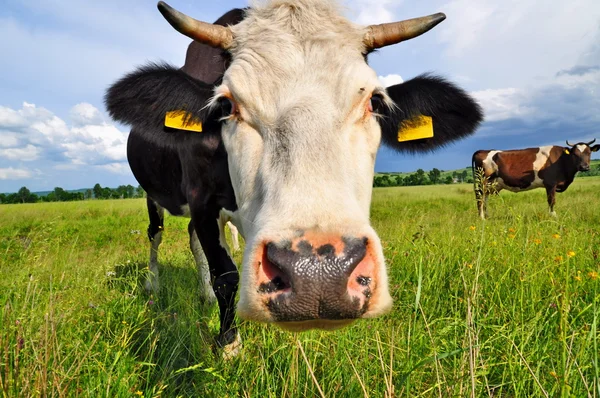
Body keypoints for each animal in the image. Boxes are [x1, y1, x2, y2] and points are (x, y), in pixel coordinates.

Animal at [105, 0, 486, 354]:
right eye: (226, 104)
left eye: (375, 101)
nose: (317, 275)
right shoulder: (201, 199)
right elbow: (225, 275)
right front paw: (228, 344)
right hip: (151, 194)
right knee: (156, 233)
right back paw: (153, 284)